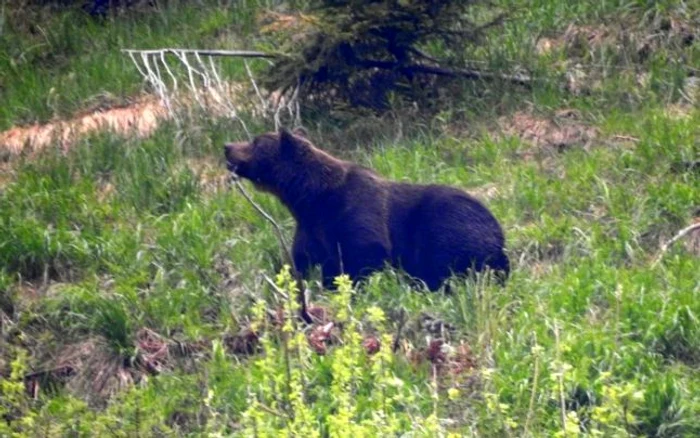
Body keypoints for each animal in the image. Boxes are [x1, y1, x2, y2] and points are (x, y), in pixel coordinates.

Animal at [224, 127, 508, 290]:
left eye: (255, 142)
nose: (227, 147)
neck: (312, 198)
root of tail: (500, 233)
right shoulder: (311, 227)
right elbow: (306, 259)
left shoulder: (355, 212)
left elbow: (367, 252)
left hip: (450, 222)